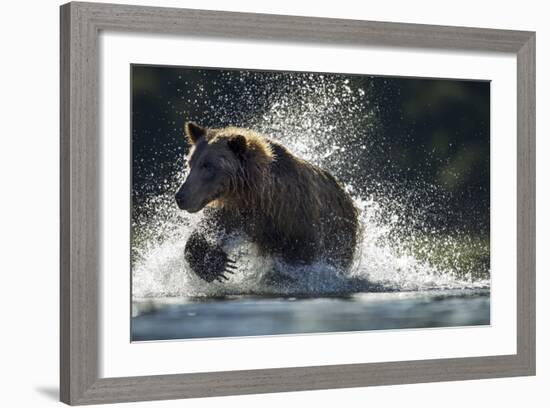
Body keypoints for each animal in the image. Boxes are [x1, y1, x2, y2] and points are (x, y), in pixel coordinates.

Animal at [175, 122, 360, 282]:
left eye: (207, 165)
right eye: (191, 162)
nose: (180, 197)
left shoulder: (294, 220)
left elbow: (301, 258)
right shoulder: (237, 212)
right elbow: (208, 231)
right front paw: (217, 265)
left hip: (341, 234)